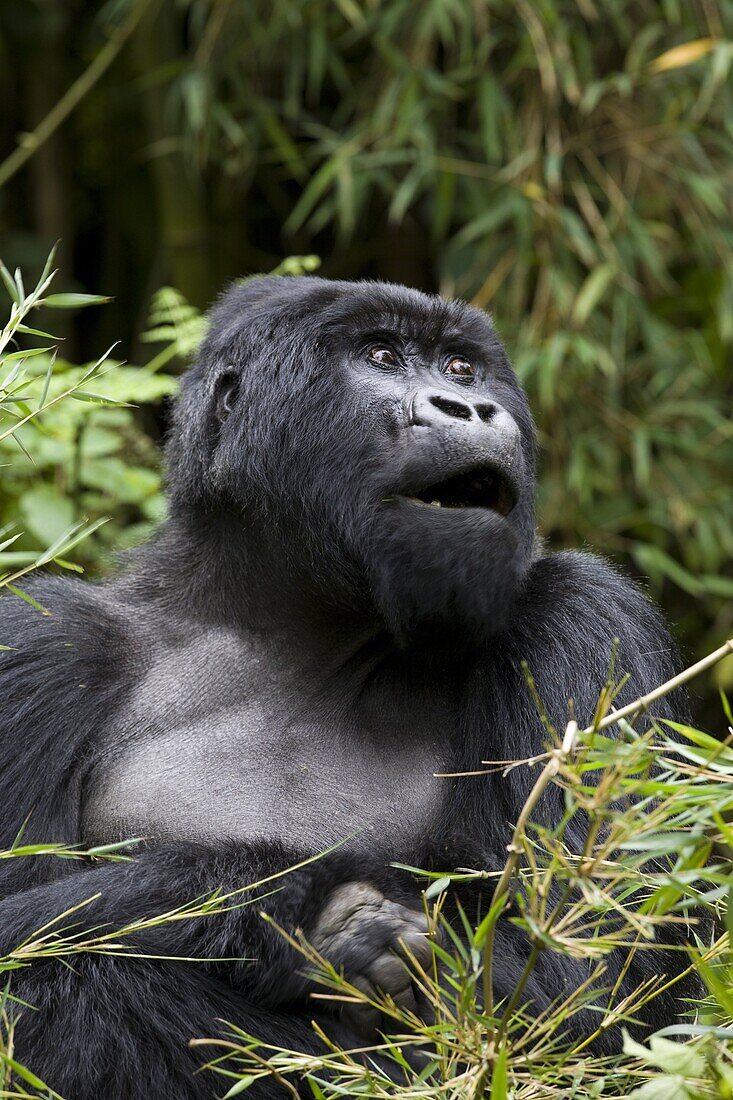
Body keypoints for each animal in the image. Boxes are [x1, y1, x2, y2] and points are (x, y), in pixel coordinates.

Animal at [0, 275, 686, 1091]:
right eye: (382, 357)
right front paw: (301, 908)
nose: (468, 408)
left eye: (462, 370)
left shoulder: (588, 620)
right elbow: (21, 931)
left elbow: (576, 993)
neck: (293, 627)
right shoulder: (39, 645)